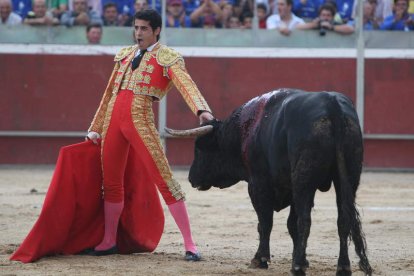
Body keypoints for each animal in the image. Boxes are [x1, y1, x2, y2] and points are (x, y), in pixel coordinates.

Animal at [184, 89, 372, 274]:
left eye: (199, 149)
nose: (191, 178)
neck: (244, 130)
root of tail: (331, 104)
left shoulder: (258, 183)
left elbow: (265, 222)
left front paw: (261, 259)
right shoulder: (291, 188)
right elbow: (290, 225)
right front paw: (301, 259)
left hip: (303, 180)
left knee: (305, 220)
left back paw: (298, 267)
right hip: (348, 178)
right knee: (343, 219)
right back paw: (343, 266)